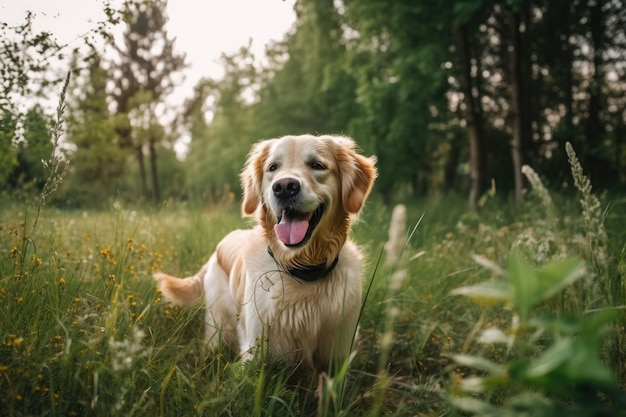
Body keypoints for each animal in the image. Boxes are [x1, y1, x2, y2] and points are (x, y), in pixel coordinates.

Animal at [155, 134, 376, 370]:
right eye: (272, 167)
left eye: (317, 165)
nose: (285, 187)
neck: (302, 270)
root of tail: (219, 246)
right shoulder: (258, 351)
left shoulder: (337, 350)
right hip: (219, 321)